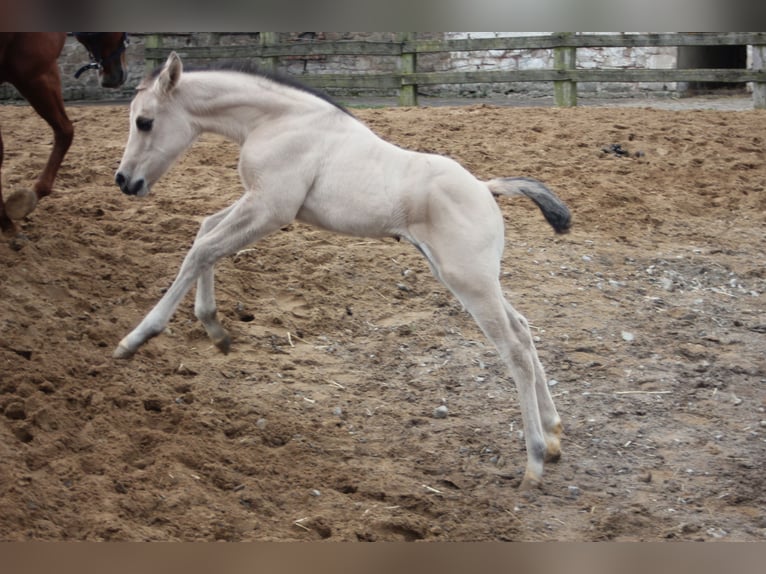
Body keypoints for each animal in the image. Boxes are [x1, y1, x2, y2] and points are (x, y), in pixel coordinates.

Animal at [114, 51, 572, 490]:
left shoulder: (271, 208)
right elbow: (205, 231)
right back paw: (553, 436)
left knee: (514, 349)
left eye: (144, 121)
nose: (124, 181)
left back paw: (533, 462)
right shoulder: (258, 202)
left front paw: (136, 339)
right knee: (524, 331)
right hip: (471, 278)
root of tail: (485, 187)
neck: (278, 121)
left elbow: (201, 250)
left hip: (469, 281)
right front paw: (215, 329)